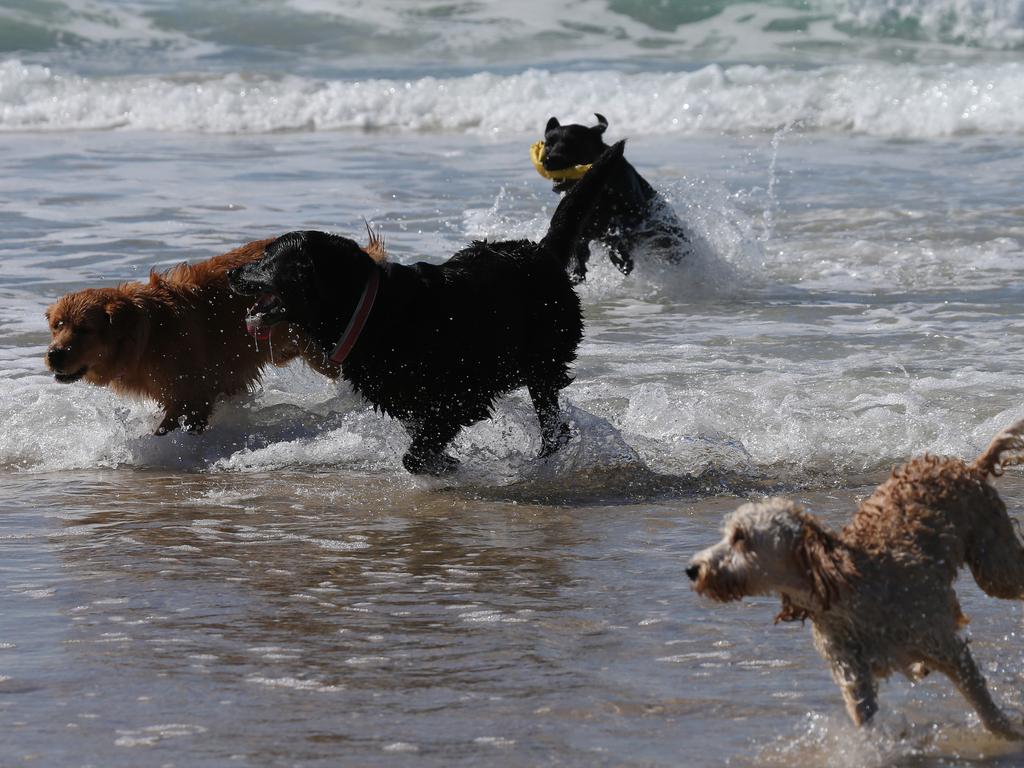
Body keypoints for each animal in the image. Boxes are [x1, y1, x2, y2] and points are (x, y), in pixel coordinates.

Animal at [227, 140, 618, 475]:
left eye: (266, 260)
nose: (231, 272)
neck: (369, 310)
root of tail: (541, 252)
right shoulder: (410, 402)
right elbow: (421, 439)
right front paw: (445, 461)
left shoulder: (462, 396)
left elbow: (416, 453)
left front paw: (440, 465)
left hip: (543, 360)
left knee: (552, 418)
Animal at [540, 114, 692, 282]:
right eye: (548, 144)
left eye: (573, 143)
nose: (550, 160)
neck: (603, 191)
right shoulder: (582, 225)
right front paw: (576, 270)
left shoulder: (633, 218)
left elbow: (616, 235)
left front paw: (620, 259)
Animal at [684, 421, 1024, 741]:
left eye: (740, 537)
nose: (692, 569)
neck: (847, 590)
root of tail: (970, 467)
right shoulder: (852, 674)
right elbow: (864, 719)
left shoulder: (948, 648)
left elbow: (986, 709)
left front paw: (1009, 735)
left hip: (996, 569)